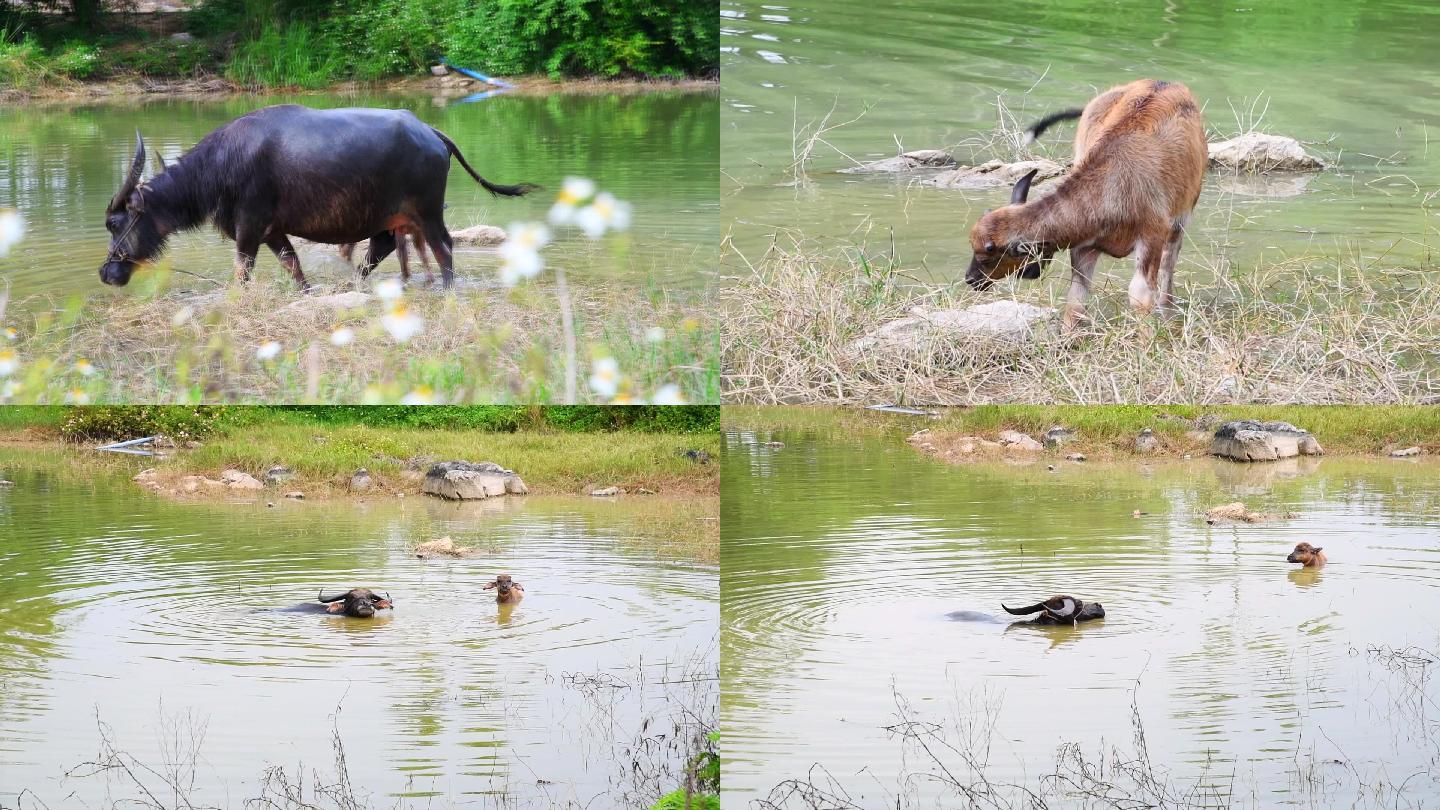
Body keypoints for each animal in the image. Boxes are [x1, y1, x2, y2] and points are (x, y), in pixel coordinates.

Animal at [100, 103, 541, 286]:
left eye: (115, 222)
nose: (107, 272)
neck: (222, 165)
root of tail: (431, 131)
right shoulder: (272, 231)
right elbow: (293, 266)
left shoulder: (249, 227)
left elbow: (242, 272)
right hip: (391, 218)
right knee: (381, 249)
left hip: (429, 212)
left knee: (444, 249)